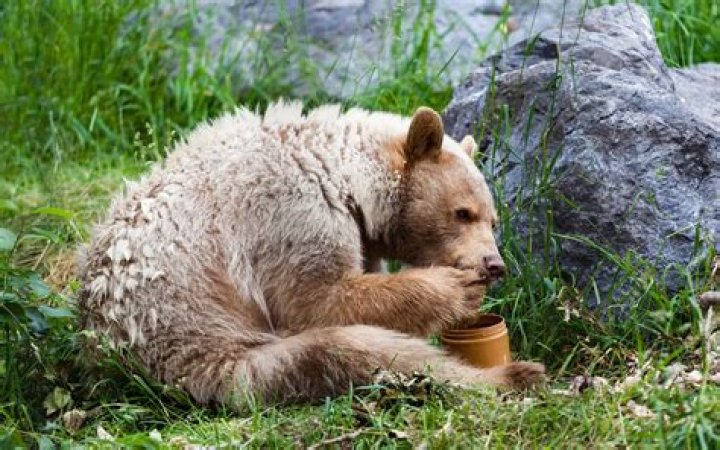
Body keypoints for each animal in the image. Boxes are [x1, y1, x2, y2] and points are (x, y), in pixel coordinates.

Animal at [77, 102, 544, 407]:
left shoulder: (358, 236)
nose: (493, 264)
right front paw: (454, 288)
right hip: (207, 343)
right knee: (350, 352)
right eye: (463, 212)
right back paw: (511, 375)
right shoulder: (291, 213)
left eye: (494, 220)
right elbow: (319, 300)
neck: (343, 174)